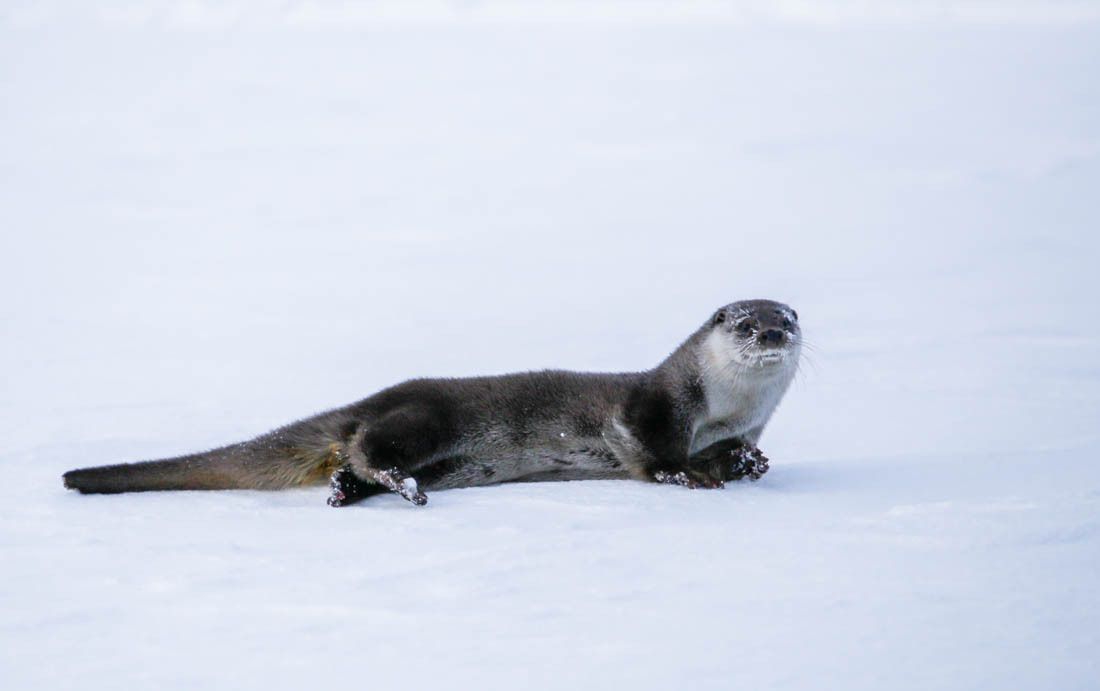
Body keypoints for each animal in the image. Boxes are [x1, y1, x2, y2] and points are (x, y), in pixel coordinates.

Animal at [62, 299, 800, 508]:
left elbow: (740, 453)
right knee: (368, 445)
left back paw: (345, 492)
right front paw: (690, 475)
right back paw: (400, 486)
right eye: (745, 323)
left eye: (788, 317)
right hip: (424, 419)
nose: (773, 334)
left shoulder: (743, 427)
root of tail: (376, 397)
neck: (722, 408)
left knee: (352, 460)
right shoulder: (653, 405)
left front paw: (746, 465)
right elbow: (654, 454)